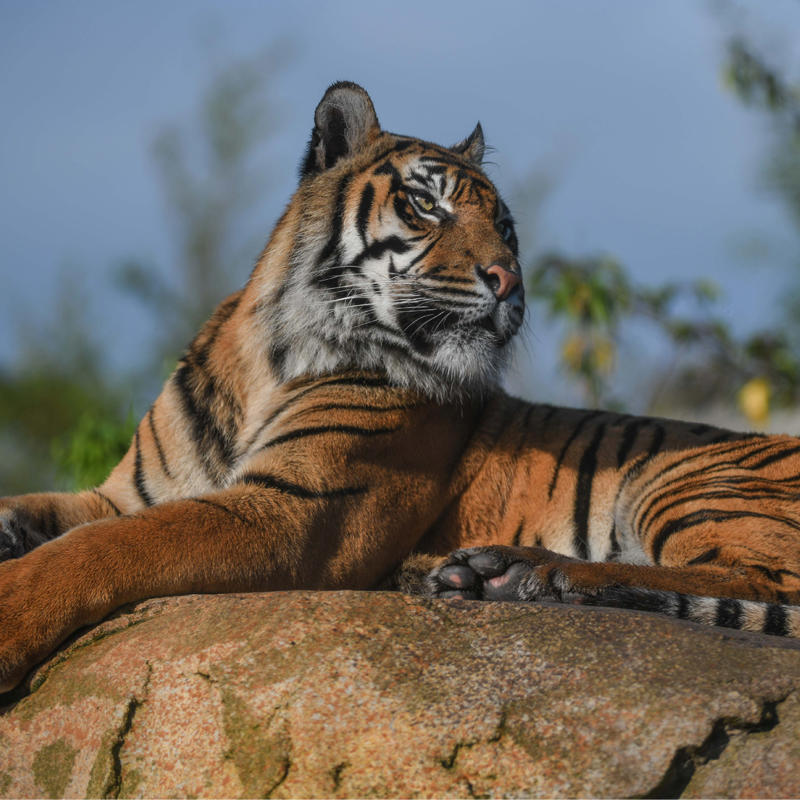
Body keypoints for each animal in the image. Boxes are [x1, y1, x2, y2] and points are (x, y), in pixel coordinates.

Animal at [1, 81, 800, 694]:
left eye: (505, 227)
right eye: (427, 205)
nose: (510, 280)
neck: (268, 351)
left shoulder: (294, 510)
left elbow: (104, 547)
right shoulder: (122, 493)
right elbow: (57, 513)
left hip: (687, 481)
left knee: (762, 583)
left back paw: (522, 575)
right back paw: (477, 576)